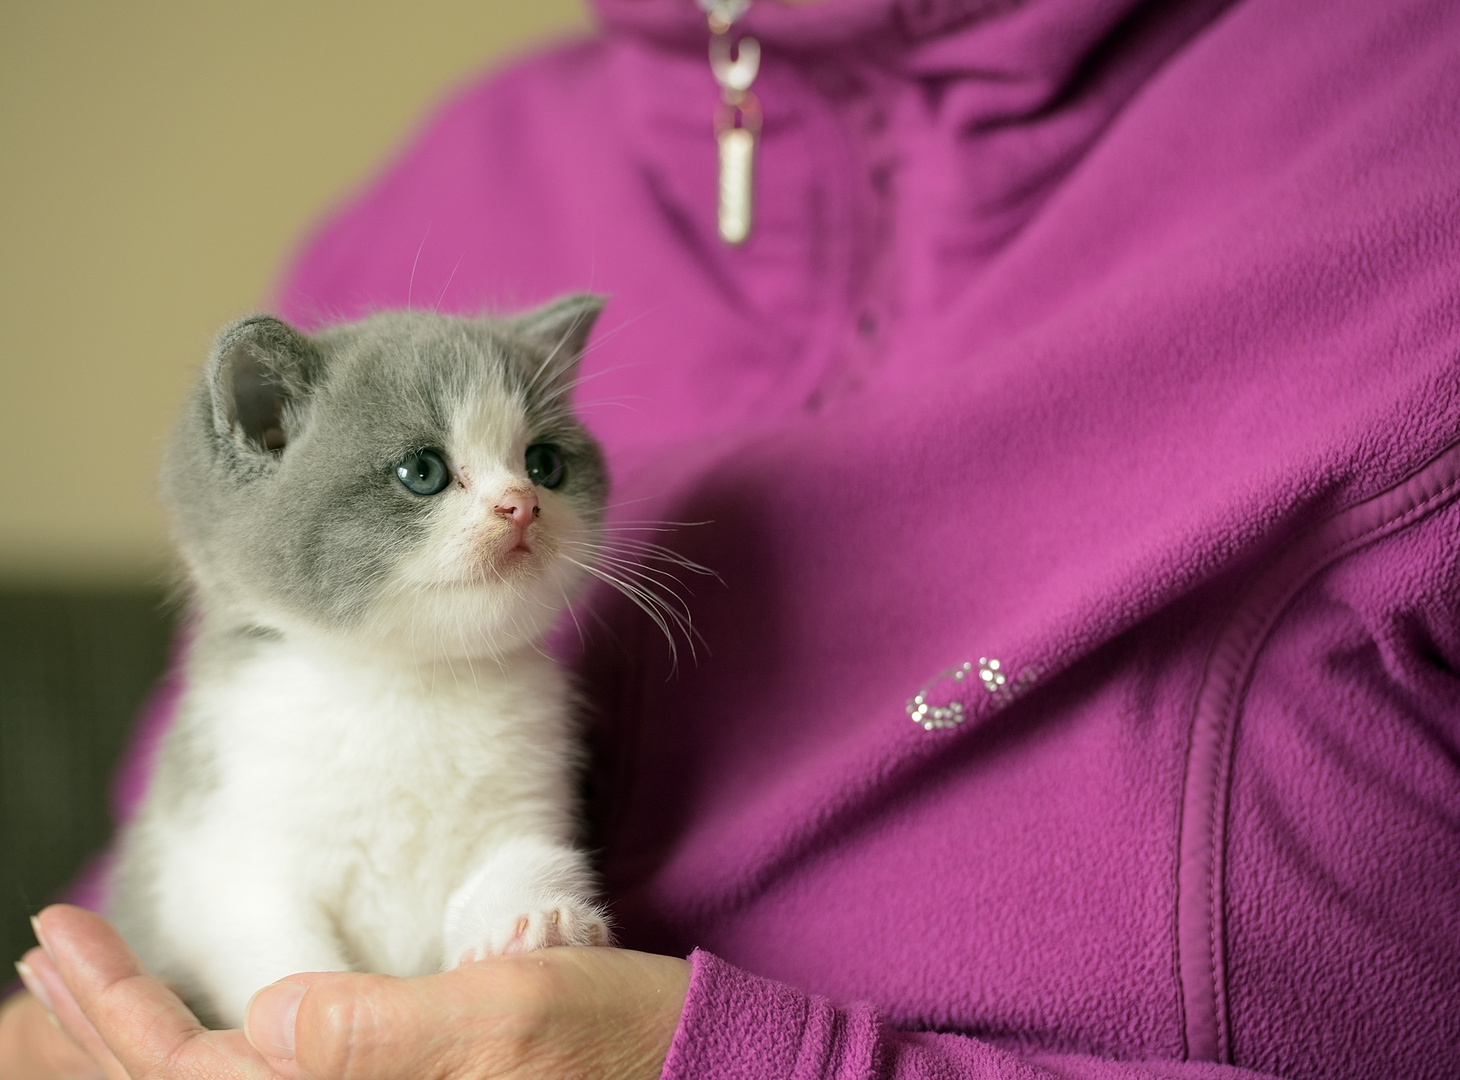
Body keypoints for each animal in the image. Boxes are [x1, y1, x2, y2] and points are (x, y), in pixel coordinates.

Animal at [108, 297, 610, 1027]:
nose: (522, 505)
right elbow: (271, 945)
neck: (407, 683)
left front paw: (533, 919)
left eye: (545, 463)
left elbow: (527, 859)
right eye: (422, 472)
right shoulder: (226, 845)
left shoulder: (527, 798)